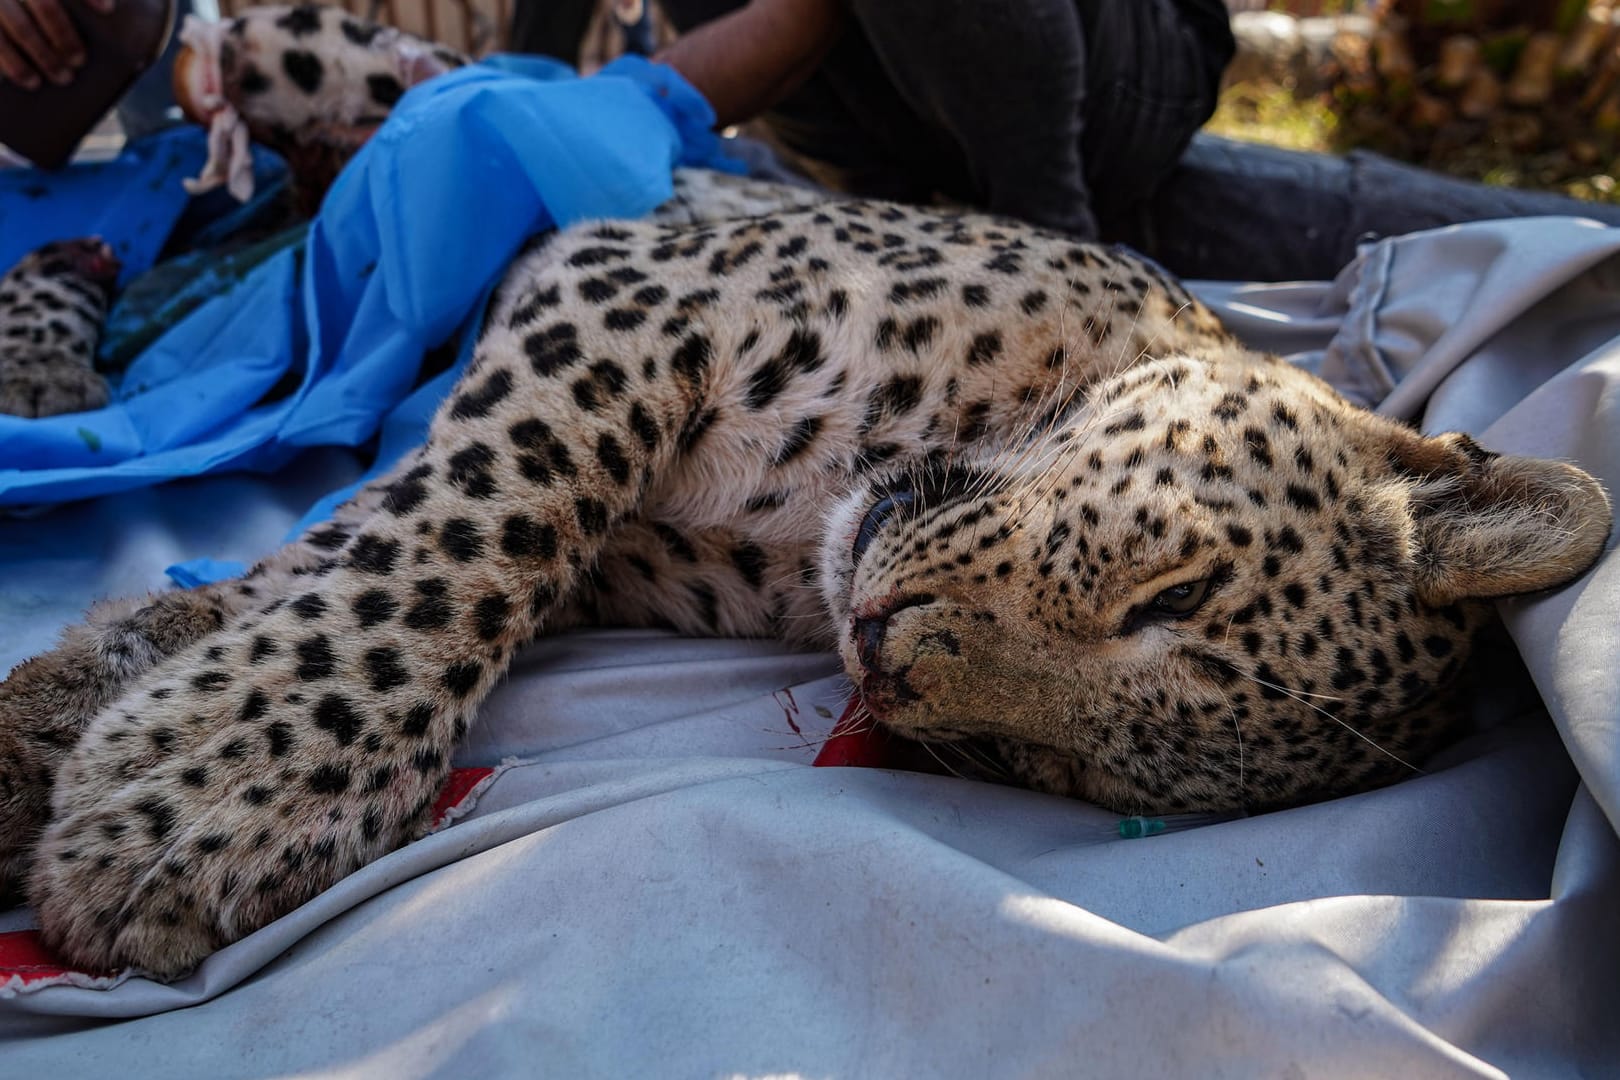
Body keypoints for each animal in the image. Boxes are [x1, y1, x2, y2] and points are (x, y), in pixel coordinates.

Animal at [0, 186, 1607, 977]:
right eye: (1166, 596)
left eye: (1043, 771)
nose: (883, 650)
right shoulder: (627, 289)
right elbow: (473, 519)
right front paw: (222, 787)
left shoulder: (623, 535)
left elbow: (359, 544)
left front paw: (85, 717)